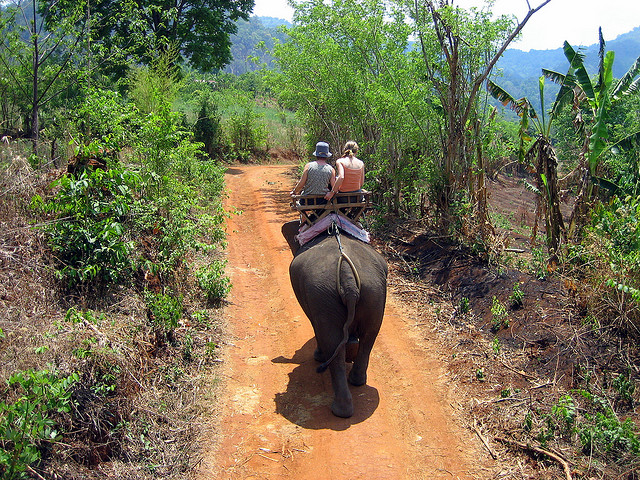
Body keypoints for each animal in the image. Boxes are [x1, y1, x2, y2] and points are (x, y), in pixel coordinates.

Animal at [282, 220, 388, 418]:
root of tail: (348, 278)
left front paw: (318, 356)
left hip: (326, 296)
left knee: (333, 341)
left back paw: (340, 410)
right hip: (374, 292)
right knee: (370, 334)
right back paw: (357, 381)